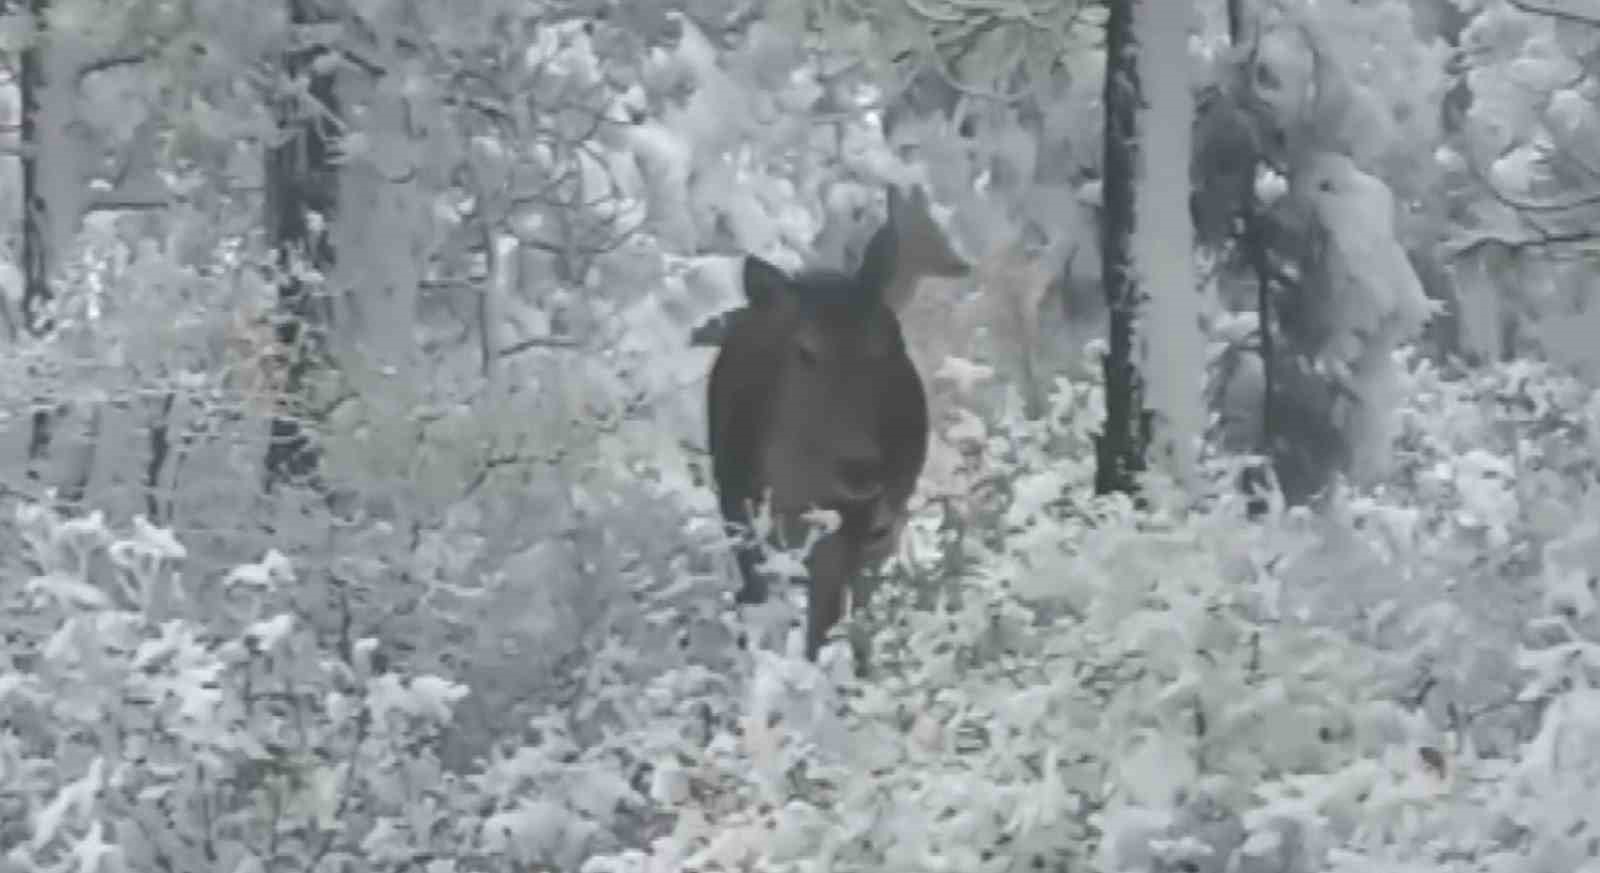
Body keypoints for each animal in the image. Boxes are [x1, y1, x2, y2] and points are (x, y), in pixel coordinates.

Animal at [704, 181, 972, 658]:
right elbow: (756, 604)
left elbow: (822, 631)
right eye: (805, 350)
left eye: (889, 344)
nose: (862, 467)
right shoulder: (737, 509)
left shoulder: (850, 533)